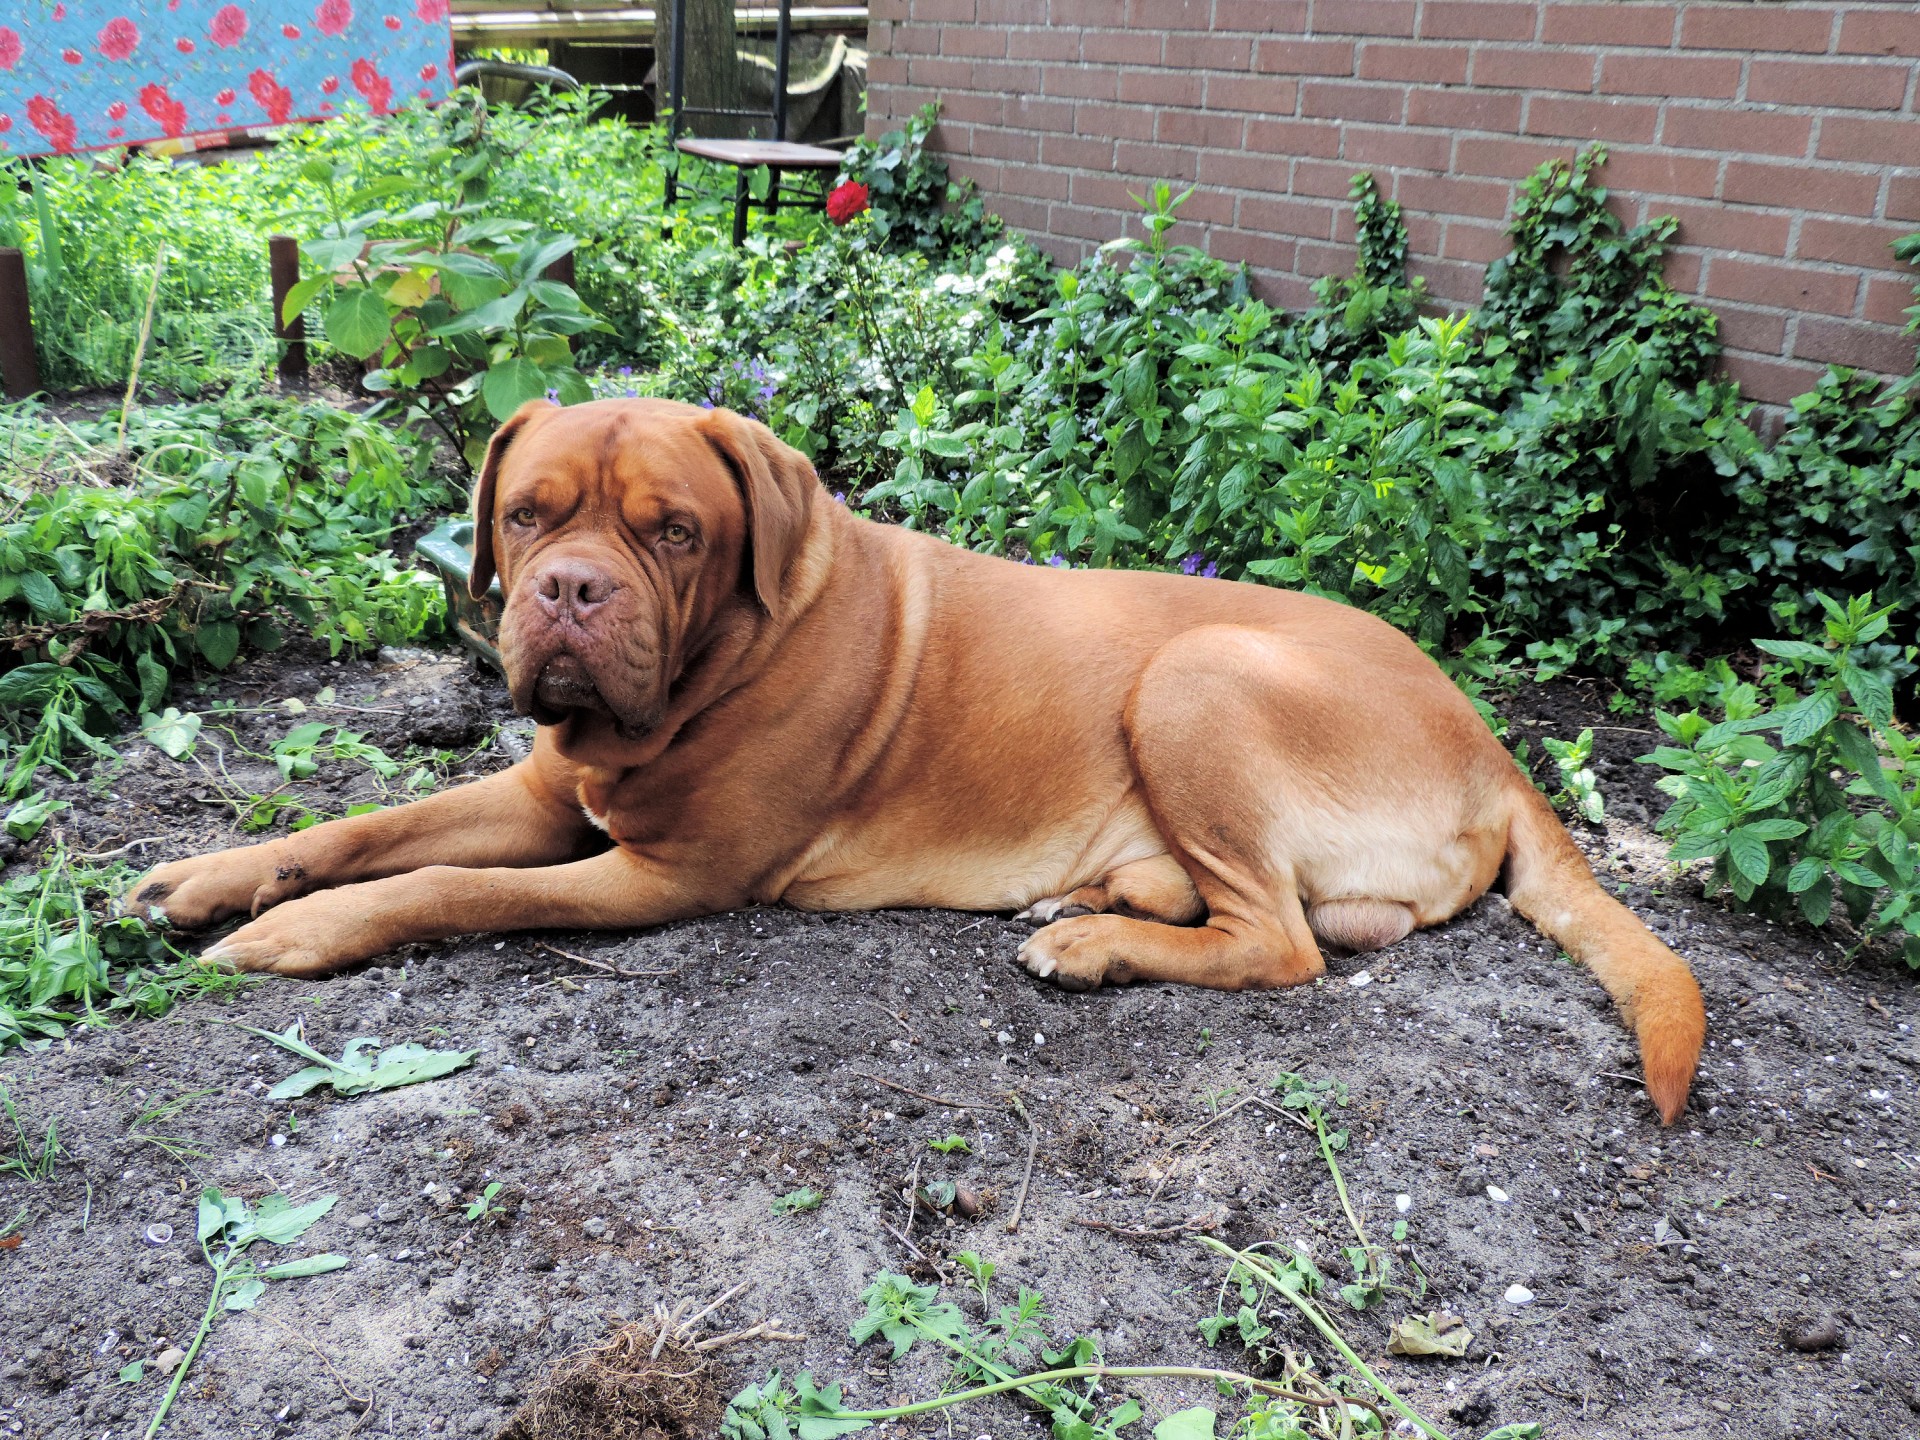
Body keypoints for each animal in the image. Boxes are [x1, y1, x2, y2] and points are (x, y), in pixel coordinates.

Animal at [127, 397, 1704, 1128]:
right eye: (525, 513)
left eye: (673, 532)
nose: (568, 591)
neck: (705, 671)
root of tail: (1488, 738)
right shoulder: (537, 792)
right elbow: (364, 825)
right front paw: (211, 878)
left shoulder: (661, 876)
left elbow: (442, 887)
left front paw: (298, 936)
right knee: (1282, 916)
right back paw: (1090, 906)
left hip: (1195, 678)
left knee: (1283, 946)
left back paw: (1087, 947)